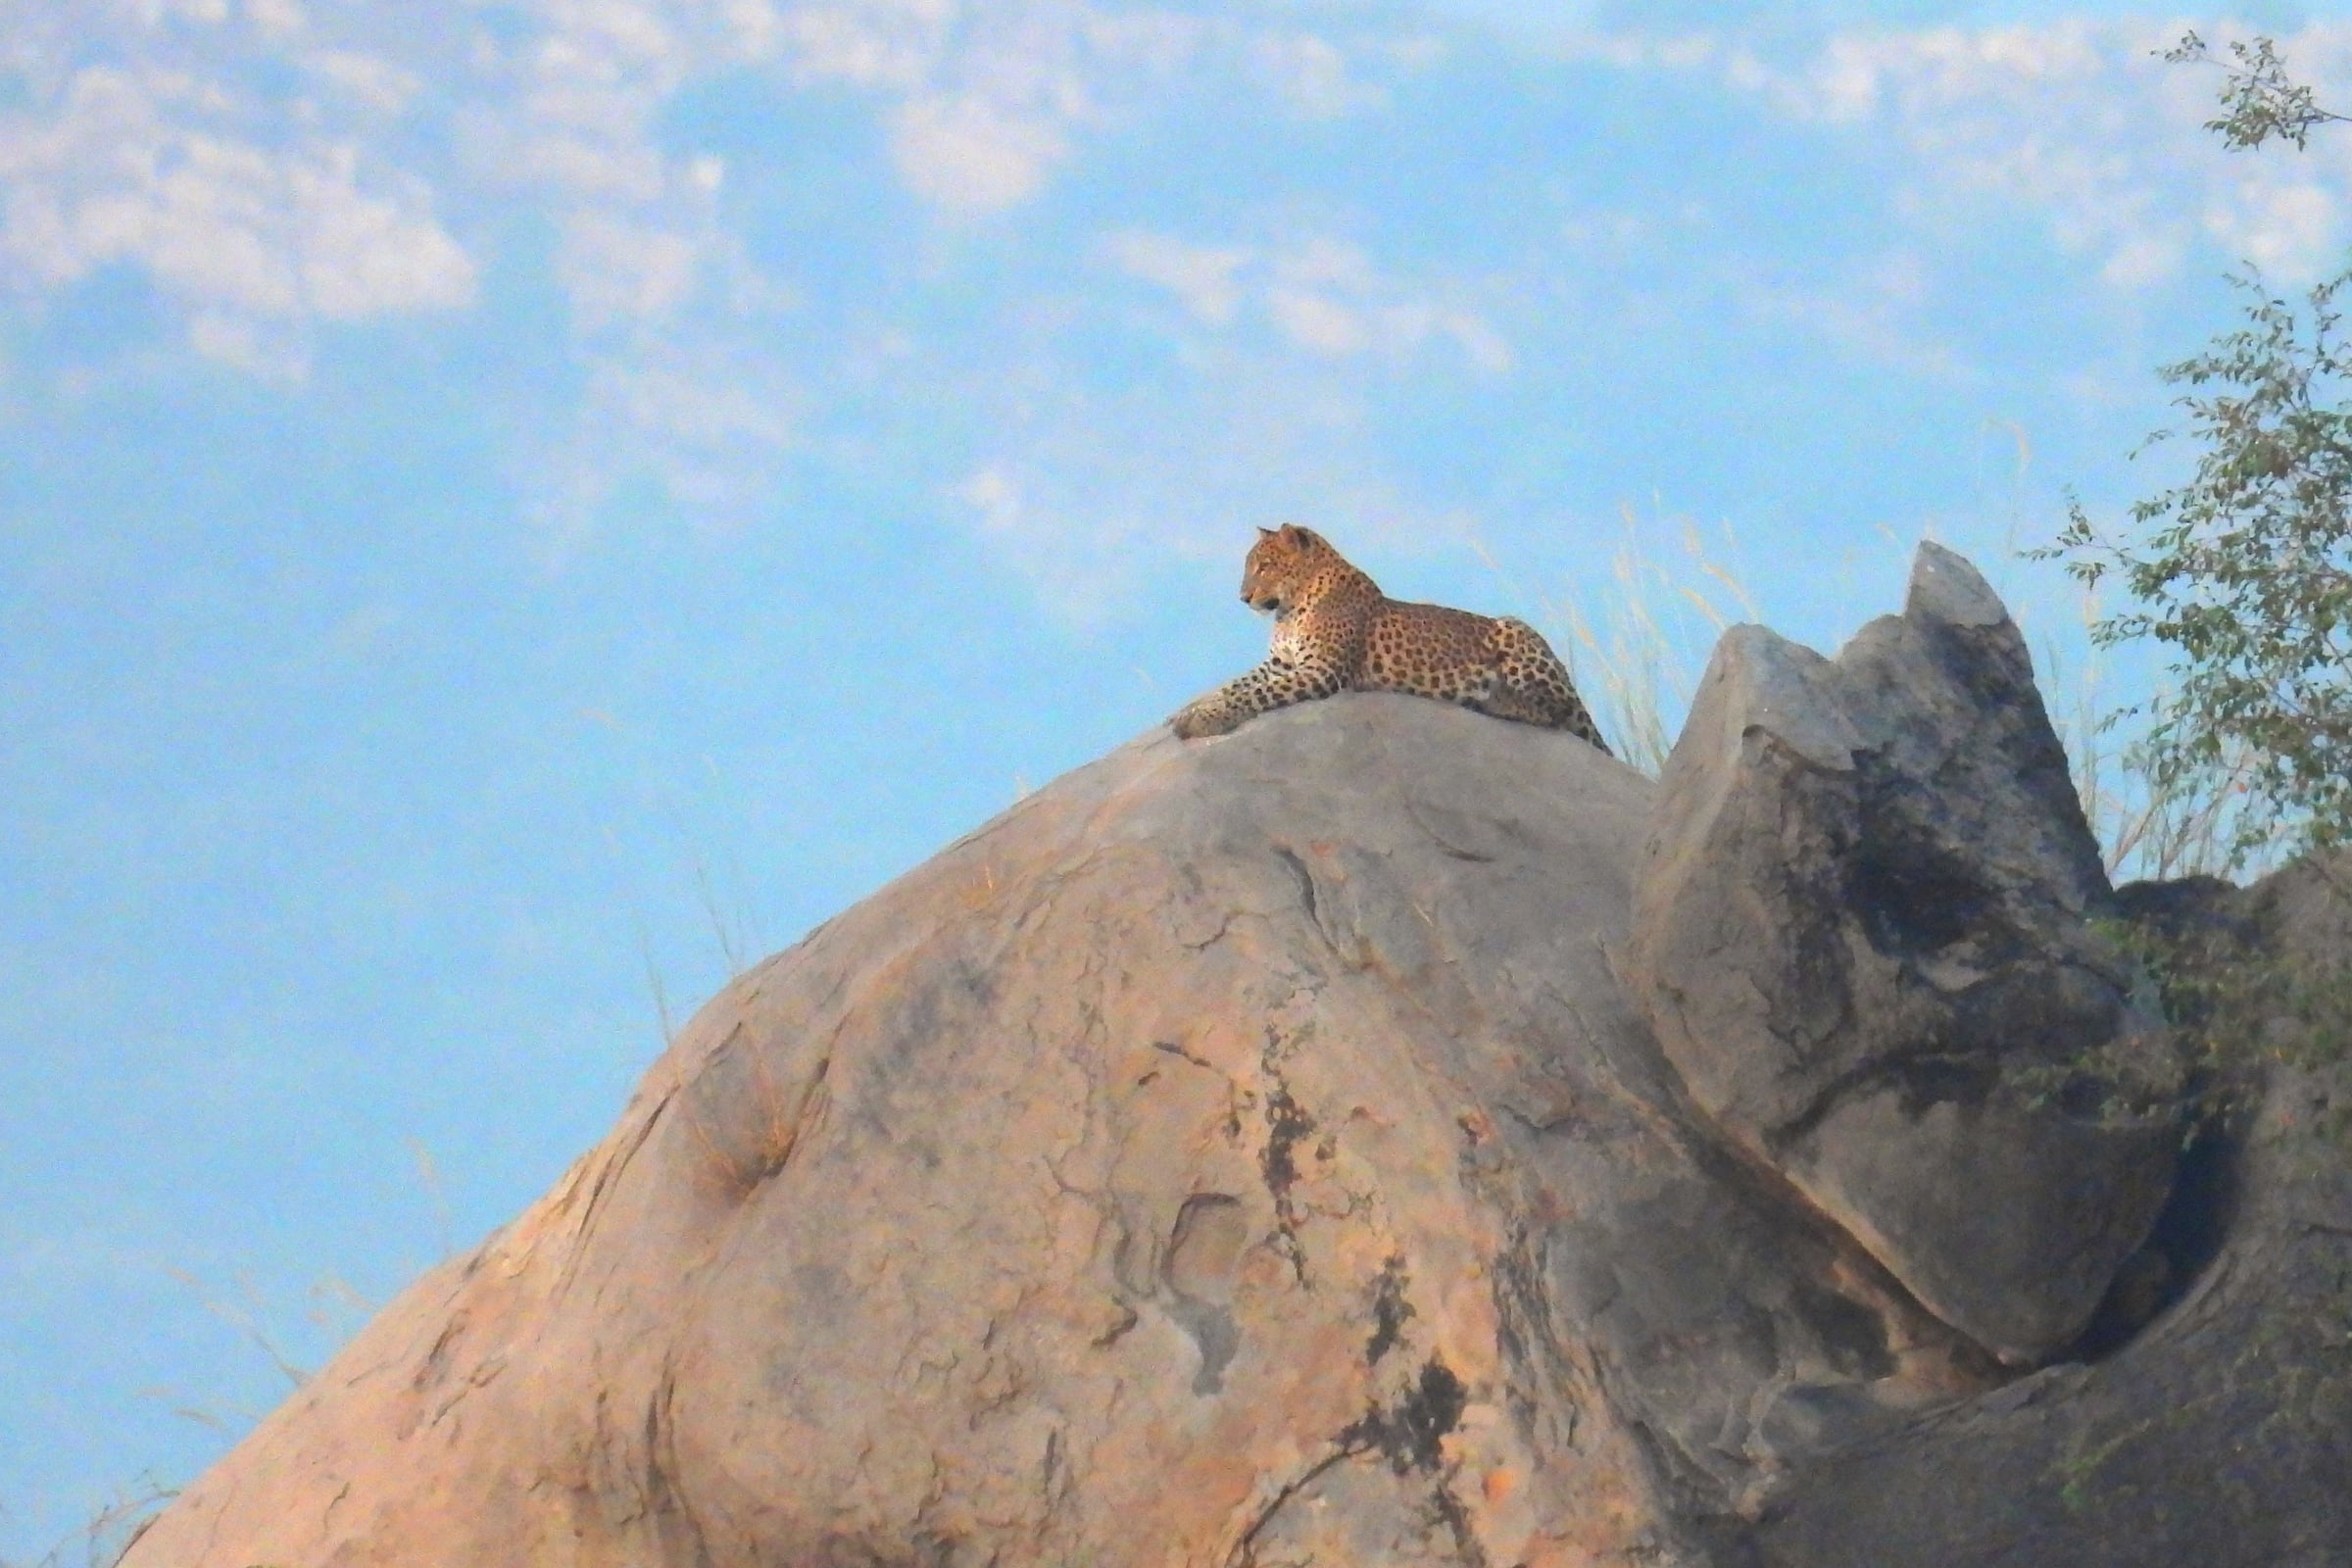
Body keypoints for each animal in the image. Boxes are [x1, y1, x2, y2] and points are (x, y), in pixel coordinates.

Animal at [1169, 524, 1612, 754]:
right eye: (1252, 566)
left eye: (1263, 566)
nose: (1243, 598)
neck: (1290, 610)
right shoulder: (1280, 663)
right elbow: (1237, 684)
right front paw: (1190, 710)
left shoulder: (1321, 672)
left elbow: (1256, 694)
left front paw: (1205, 720)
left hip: (1516, 631)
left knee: (1554, 709)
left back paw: (1494, 697)